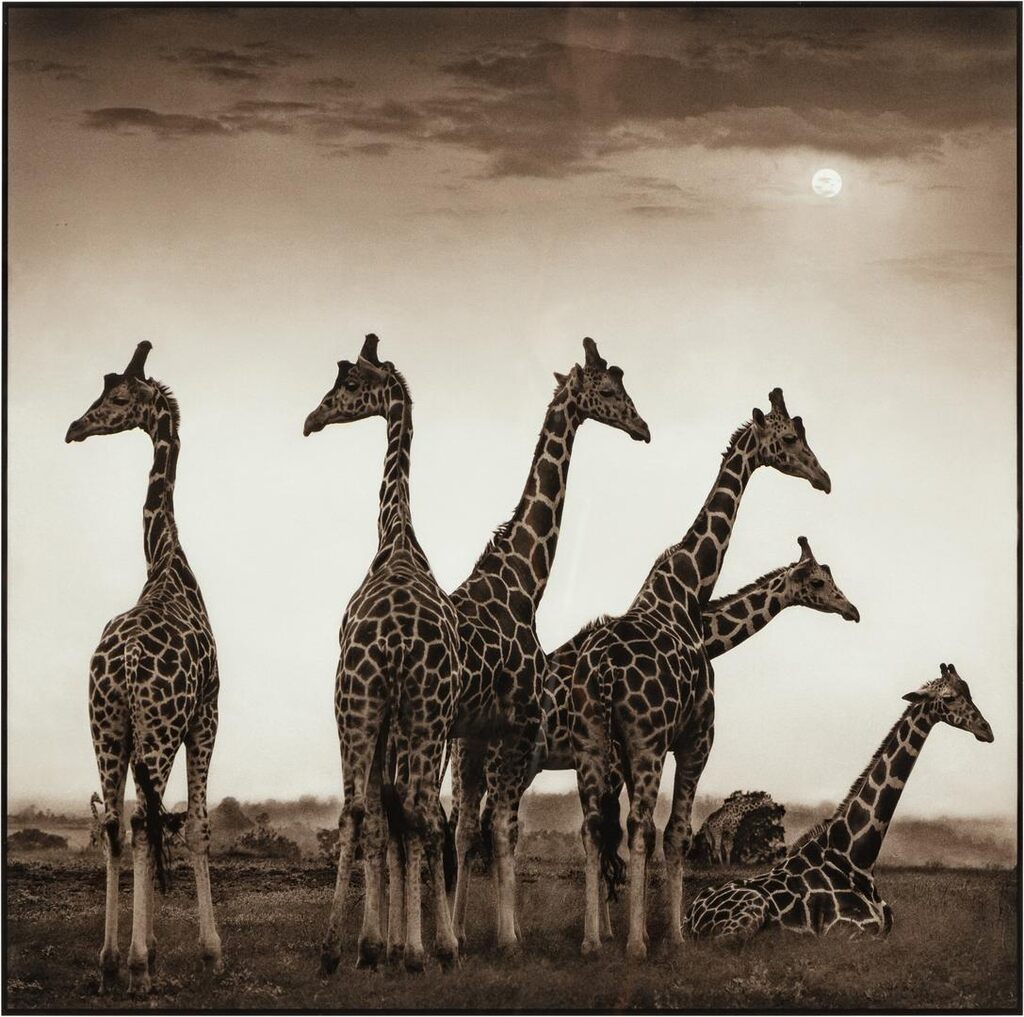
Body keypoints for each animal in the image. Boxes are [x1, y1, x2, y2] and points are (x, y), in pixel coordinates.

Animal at [448, 337, 650, 955]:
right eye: (608, 389)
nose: (643, 427)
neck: (522, 581)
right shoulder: (516, 726)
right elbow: (509, 827)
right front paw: (510, 938)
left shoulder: (490, 735)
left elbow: (491, 828)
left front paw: (482, 933)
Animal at [571, 387, 832, 960]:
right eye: (790, 438)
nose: (823, 477)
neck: (688, 590)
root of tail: (603, 673)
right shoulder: (696, 736)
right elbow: (676, 833)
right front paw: (674, 937)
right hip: (644, 742)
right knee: (637, 826)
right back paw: (636, 944)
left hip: (592, 741)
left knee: (593, 826)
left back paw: (593, 942)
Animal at [686, 663, 994, 942]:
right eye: (949, 697)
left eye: (969, 691)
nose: (986, 730)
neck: (857, 860)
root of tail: (689, 916)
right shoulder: (848, 932)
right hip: (750, 911)